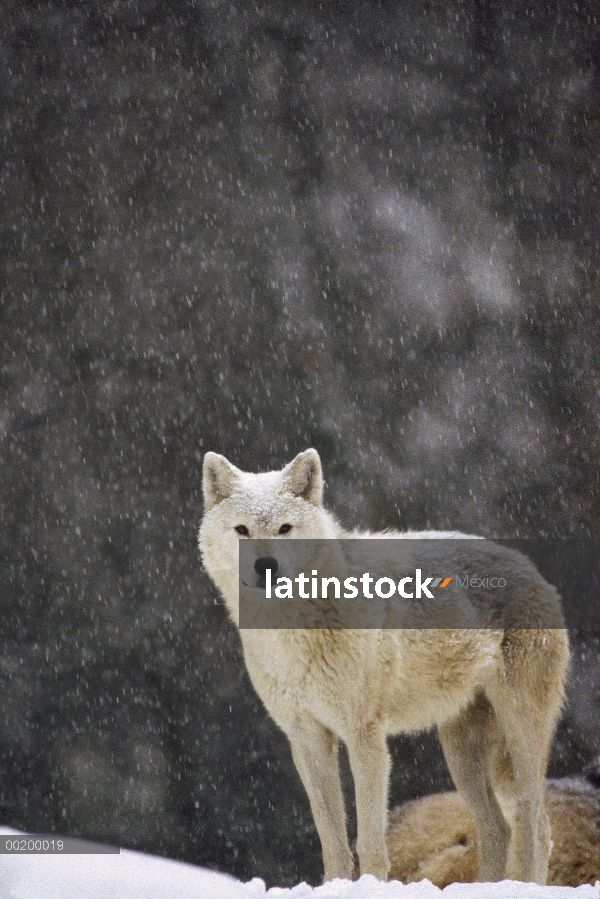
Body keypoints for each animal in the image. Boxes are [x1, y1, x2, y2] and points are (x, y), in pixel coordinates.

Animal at [199, 446, 568, 884]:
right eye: (242, 530)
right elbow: (333, 841)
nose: (266, 566)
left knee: (538, 829)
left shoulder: (365, 737)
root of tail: (533, 569)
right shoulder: (307, 738)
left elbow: (370, 842)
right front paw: (336, 886)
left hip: (520, 733)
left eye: (285, 529)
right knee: (498, 830)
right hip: (461, 750)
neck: (296, 632)